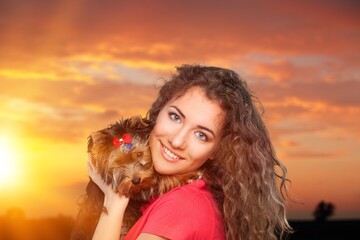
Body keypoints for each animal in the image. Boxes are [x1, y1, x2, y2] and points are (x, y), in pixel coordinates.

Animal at [70, 115, 200, 239]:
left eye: (139, 154)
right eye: (119, 162)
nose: (136, 180)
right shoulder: (133, 190)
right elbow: (157, 182)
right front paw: (187, 175)